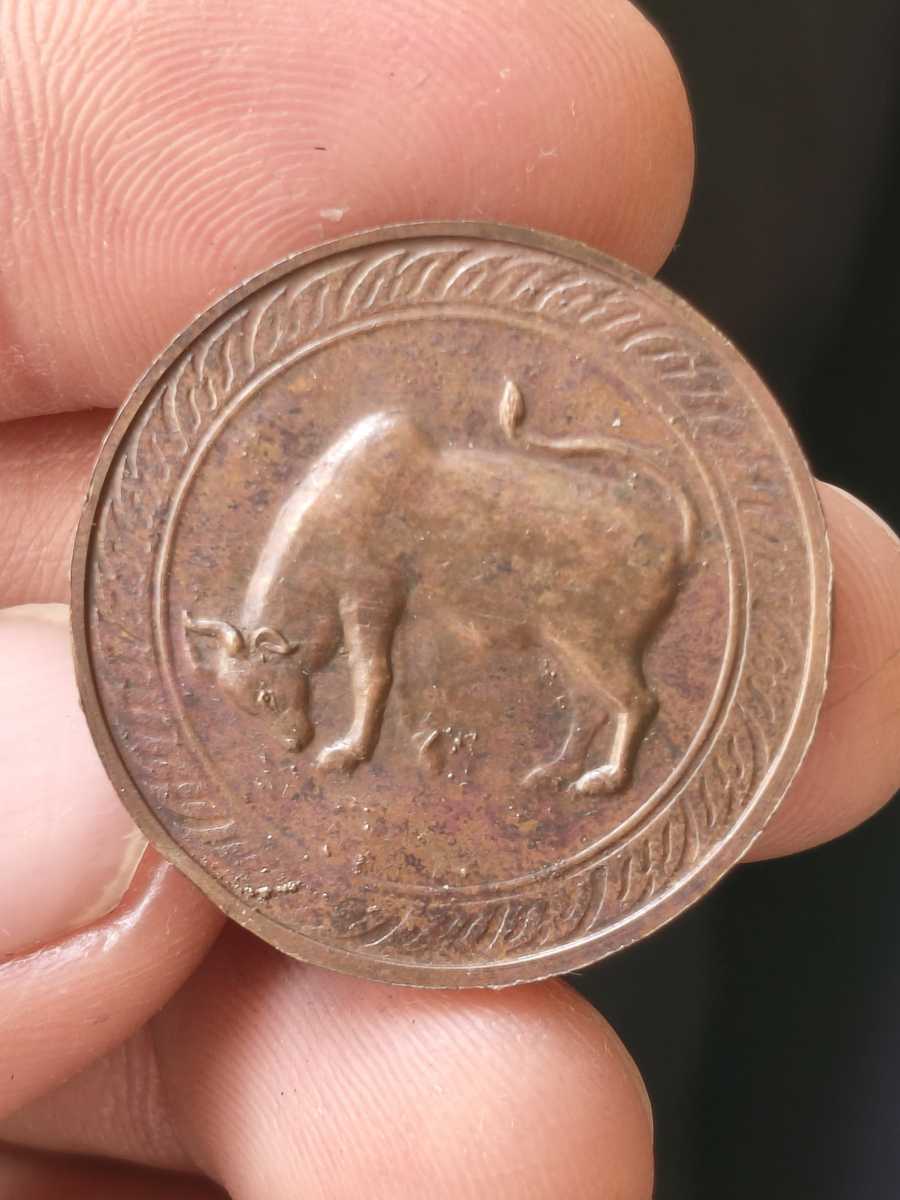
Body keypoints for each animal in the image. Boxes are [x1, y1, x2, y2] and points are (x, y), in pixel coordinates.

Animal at [185, 381, 695, 795]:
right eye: (250, 706)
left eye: (267, 695)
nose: (294, 743)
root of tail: (675, 546)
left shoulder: (369, 598)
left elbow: (372, 675)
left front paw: (348, 752)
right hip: (565, 648)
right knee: (591, 709)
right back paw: (557, 773)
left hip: (593, 644)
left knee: (639, 702)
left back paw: (607, 779)